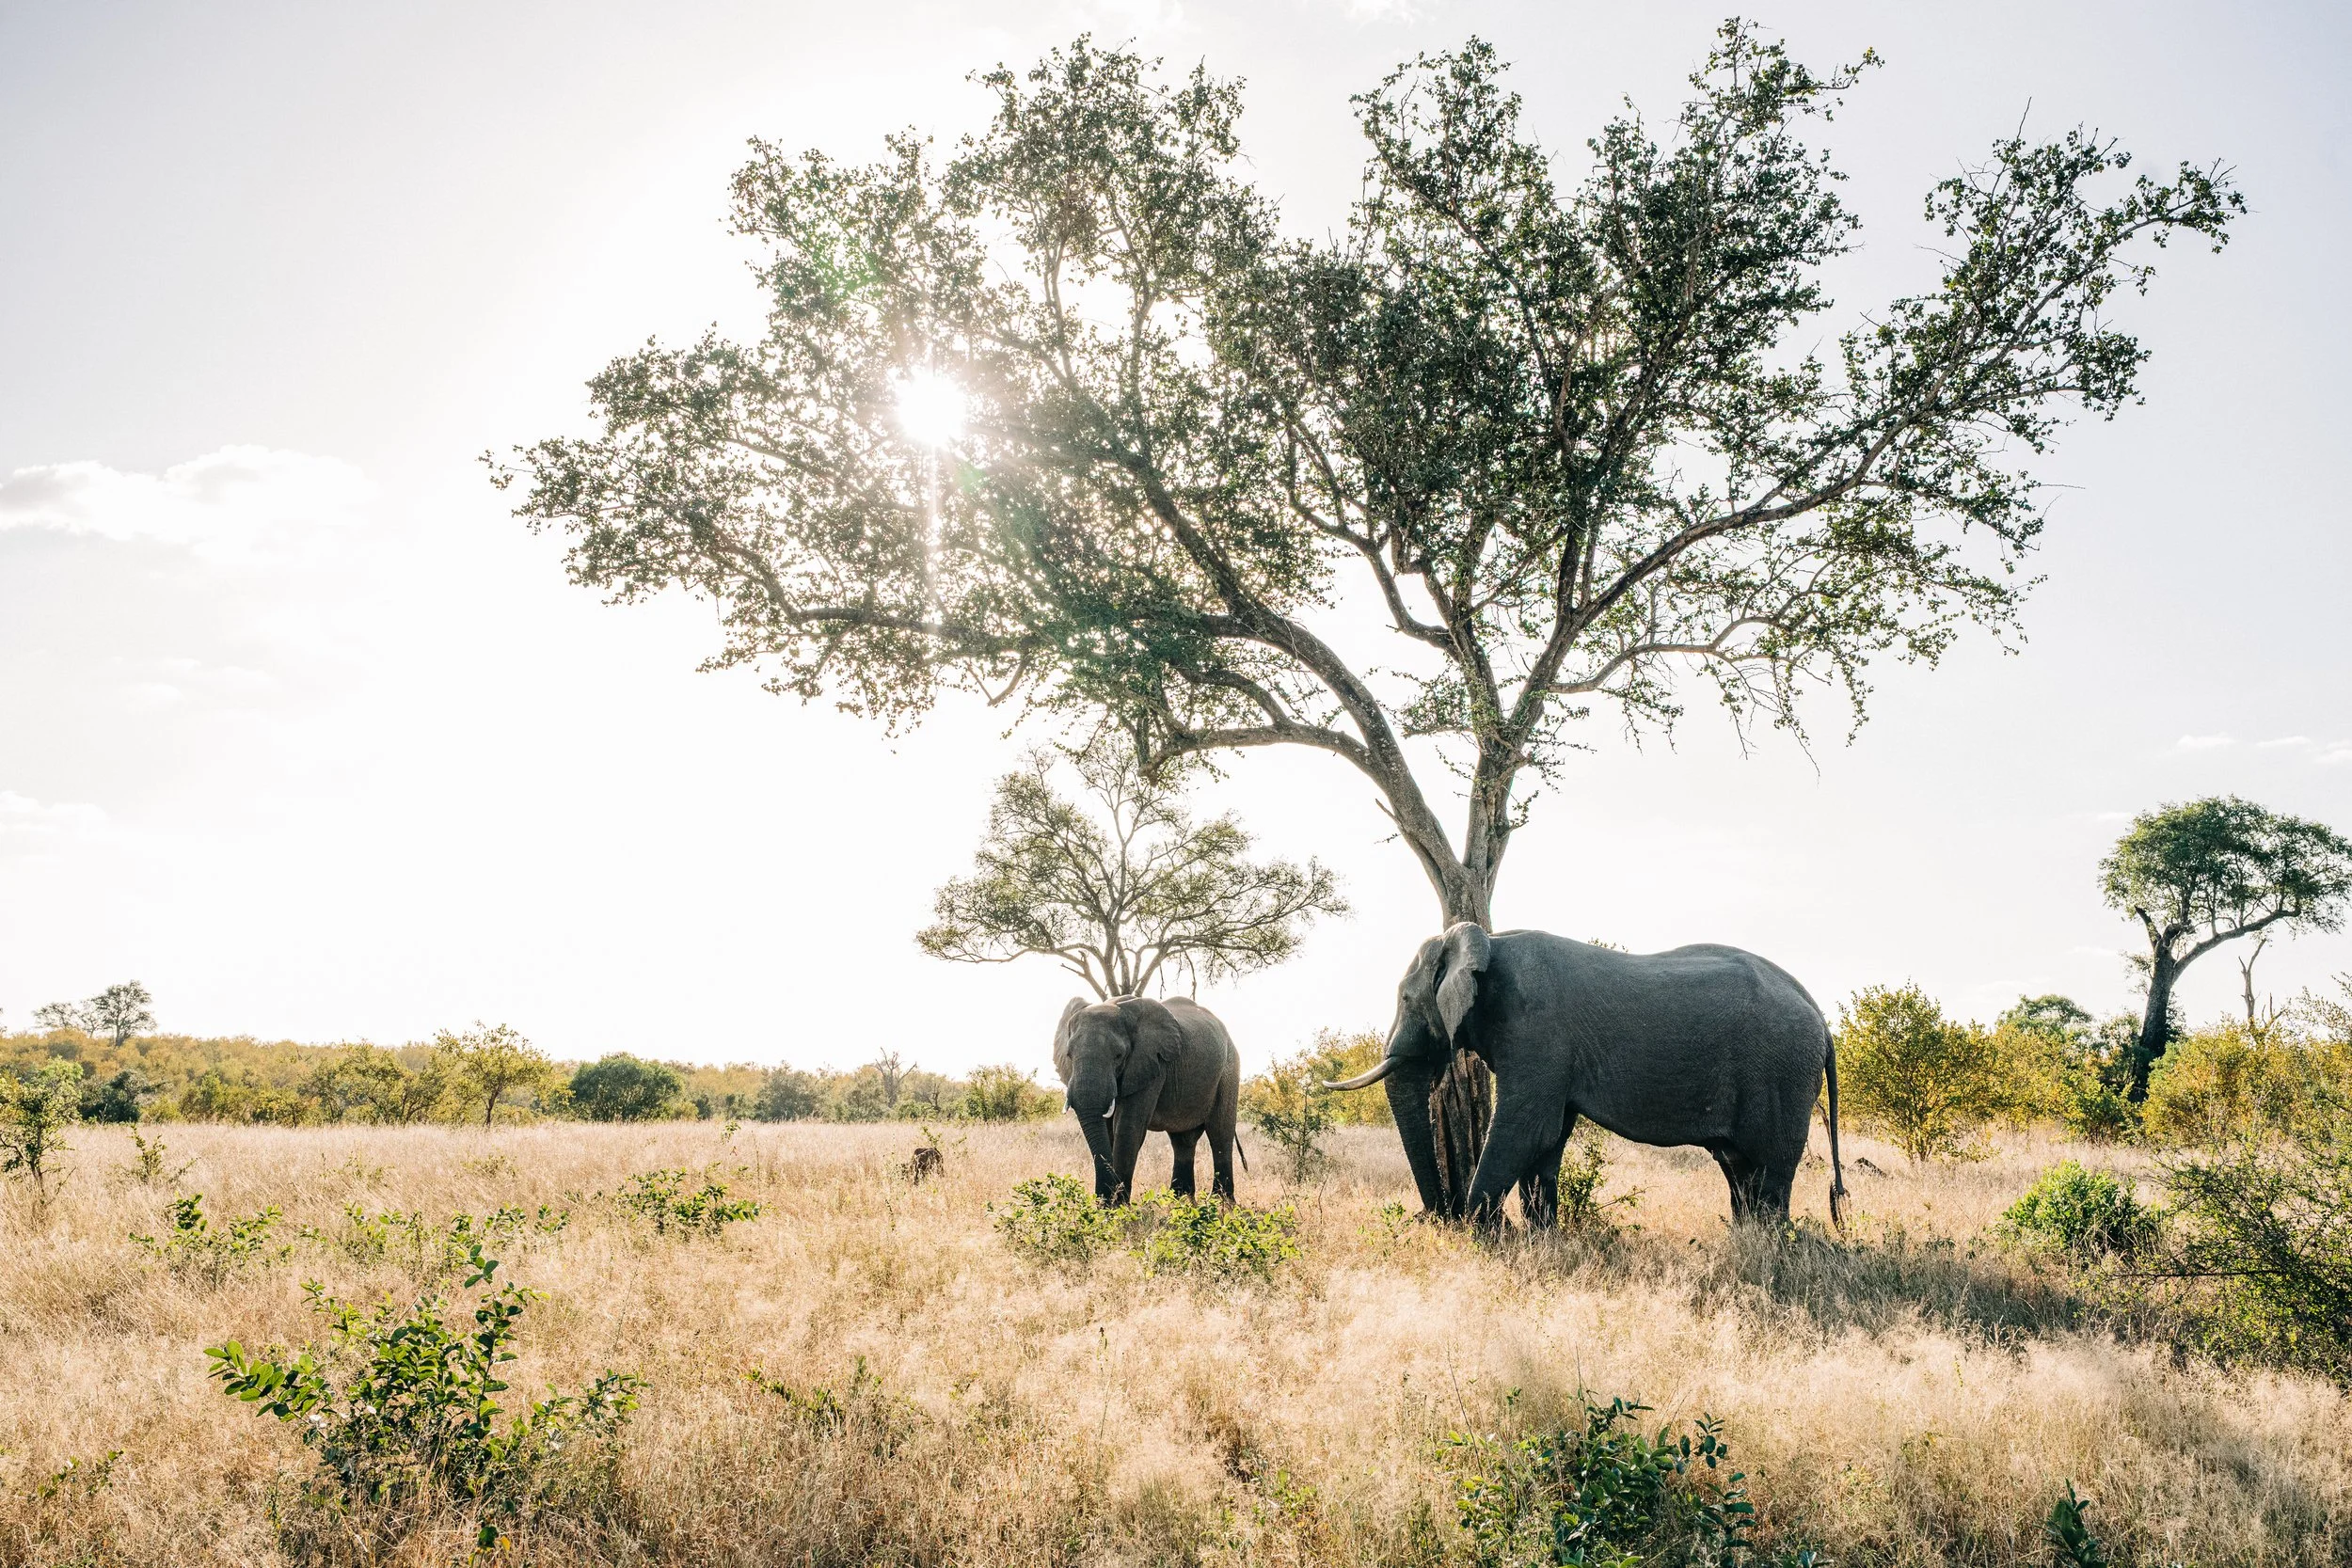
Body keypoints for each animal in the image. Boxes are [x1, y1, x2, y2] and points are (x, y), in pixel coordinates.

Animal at [1053, 995, 1242, 1204]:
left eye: (1119, 1055)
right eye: (1069, 1055)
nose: (1103, 1198)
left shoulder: (1152, 1063)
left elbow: (1128, 1128)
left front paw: (1117, 1207)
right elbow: (1107, 1129)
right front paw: (1105, 1205)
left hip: (1228, 1070)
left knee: (1220, 1133)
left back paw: (1221, 1203)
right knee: (1183, 1141)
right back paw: (1180, 1201)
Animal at [1329, 925, 1848, 1227]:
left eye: (1405, 999)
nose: (1439, 1218)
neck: (1487, 943)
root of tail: (1821, 1020)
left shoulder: (1536, 1029)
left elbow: (1526, 1128)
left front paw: (1481, 1237)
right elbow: (1548, 1136)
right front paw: (1538, 1239)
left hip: (1782, 1074)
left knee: (1770, 1169)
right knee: (1739, 1168)